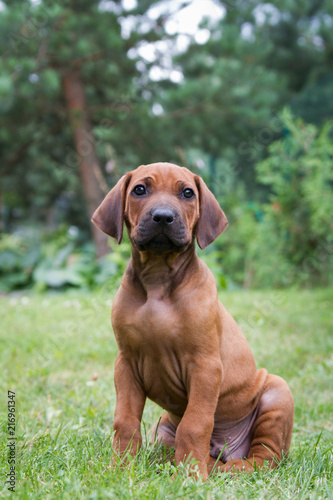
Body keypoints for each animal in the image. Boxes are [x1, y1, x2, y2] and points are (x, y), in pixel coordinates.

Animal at [91, 162, 294, 478]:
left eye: (187, 193)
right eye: (139, 189)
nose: (163, 216)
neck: (158, 280)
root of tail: (225, 448)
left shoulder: (205, 366)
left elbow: (195, 423)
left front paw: (191, 477)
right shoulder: (125, 363)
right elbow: (124, 421)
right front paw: (121, 467)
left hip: (277, 393)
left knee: (266, 456)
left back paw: (229, 466)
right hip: (164, 427)